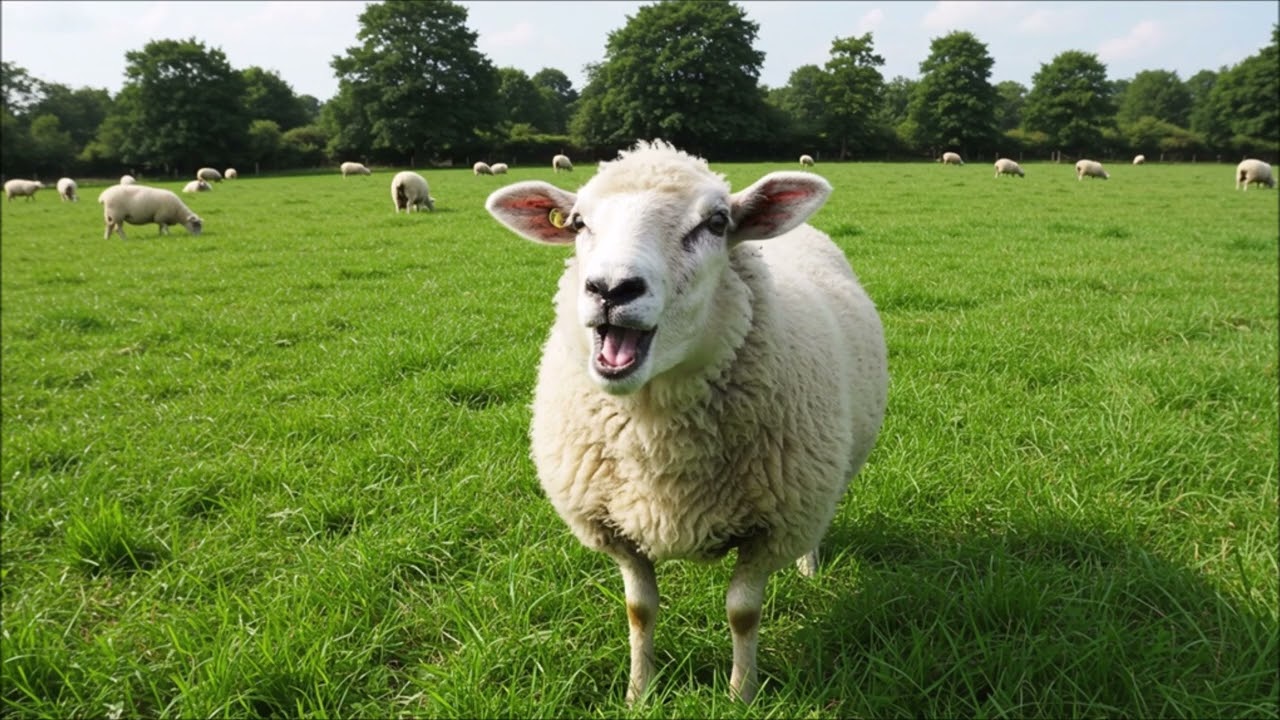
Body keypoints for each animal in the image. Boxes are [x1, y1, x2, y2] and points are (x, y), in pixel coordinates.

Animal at [485, 139, 888, 704]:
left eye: (716, 223)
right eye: (579, 222)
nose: (611, 289)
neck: (657, 438)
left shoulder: (773, 526)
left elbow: (743, 614)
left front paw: (742, 696)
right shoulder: (615, 529)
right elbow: (639, 611)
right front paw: (639, 693)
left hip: (821, 484)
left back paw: (809, 568)